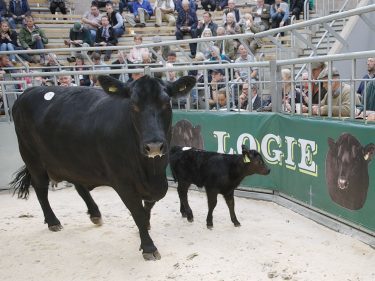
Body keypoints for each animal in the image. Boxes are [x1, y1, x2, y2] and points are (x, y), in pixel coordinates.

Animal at [9, 74, 197, 258]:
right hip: (31, 157)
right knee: (40, 188)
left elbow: (149, 205)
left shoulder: (157, 184)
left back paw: (94, 214)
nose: (154, 146)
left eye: (166, 103)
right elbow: (137, 212)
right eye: (133, 105)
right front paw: (148, 246)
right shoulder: (123, 183)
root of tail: (29, 91)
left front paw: (147, 225)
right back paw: (53, 221)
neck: (151, 170)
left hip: (73, 160)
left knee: (78, 184)